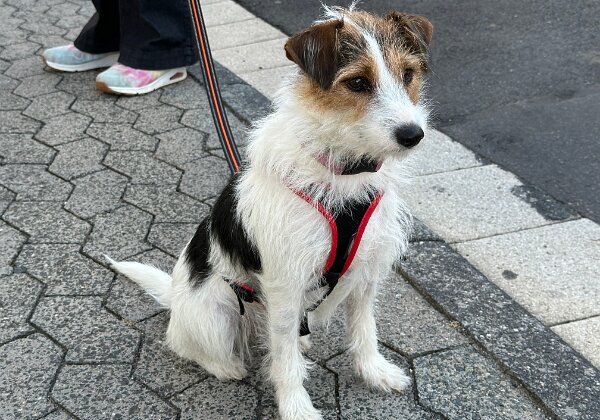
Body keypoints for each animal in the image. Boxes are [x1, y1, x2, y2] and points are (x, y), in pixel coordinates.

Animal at [107, 4, 432, 419]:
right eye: (358, 82)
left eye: (407, 74)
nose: (412, 134)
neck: (343, 171)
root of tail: (176, 298)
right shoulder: (285, 283)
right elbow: (286, 363)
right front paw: (297, 407)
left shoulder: (366, 269)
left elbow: (364, 328)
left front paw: (374, 370)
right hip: (216, 314)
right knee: (185, 342)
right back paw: (225, 366)